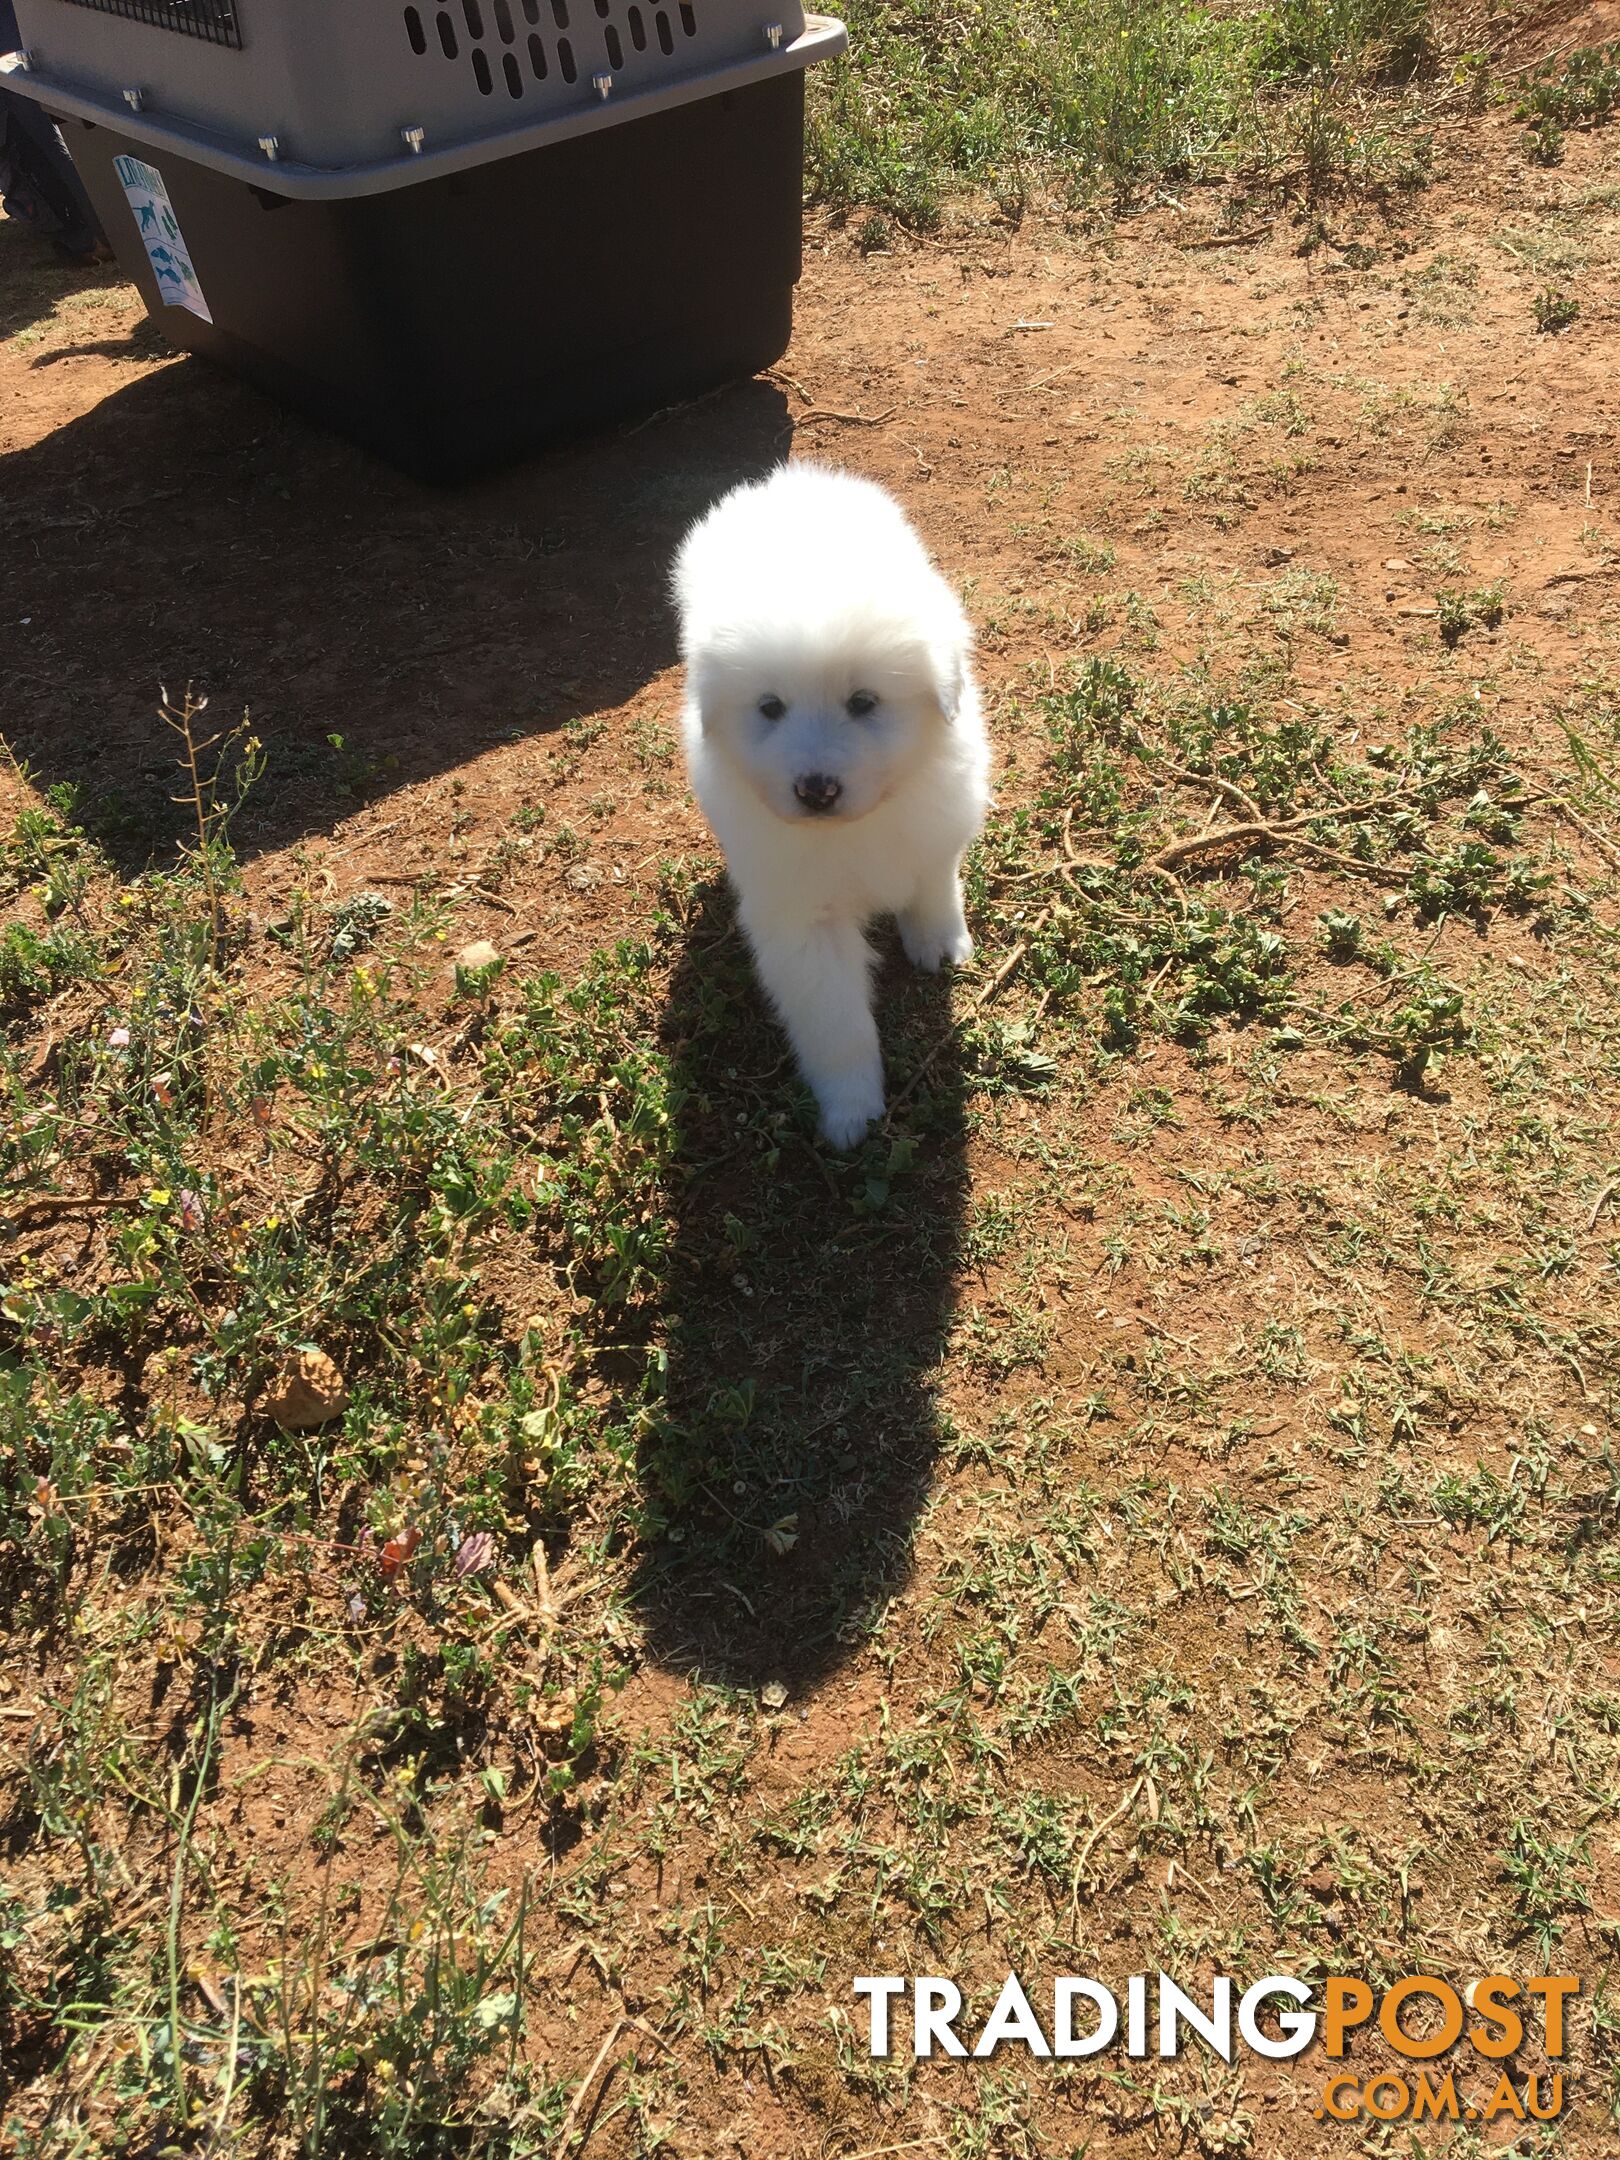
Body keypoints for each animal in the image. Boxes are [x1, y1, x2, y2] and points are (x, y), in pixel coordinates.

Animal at [673, 466, 989, 1157]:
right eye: (770, 708)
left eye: (863, 702)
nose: (816, 789)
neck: (858, 827)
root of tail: (788, 480)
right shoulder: (801, 922)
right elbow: (837, 1026)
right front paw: (852, 1112)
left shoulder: (936, 829)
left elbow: (934, 885)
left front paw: (939, 942)